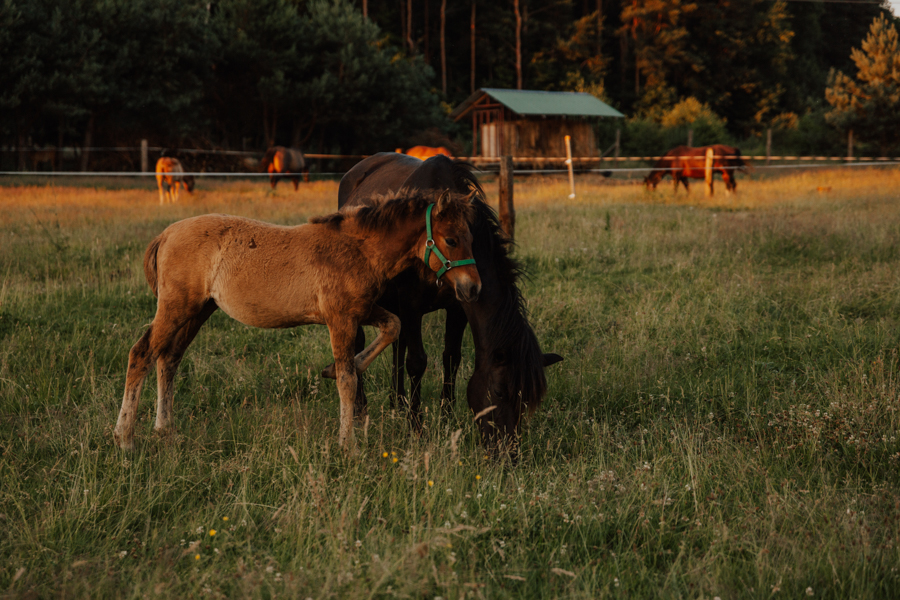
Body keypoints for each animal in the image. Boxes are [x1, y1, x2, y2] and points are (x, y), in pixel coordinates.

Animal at [115, 190, 482, 452]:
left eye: (471, 237)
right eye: (451, 239)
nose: (472, 288)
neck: (357, 251)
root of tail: (166, 234)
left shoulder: (361, 311)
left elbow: (391, 328)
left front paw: (331, 370)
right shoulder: (340, 319)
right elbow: (348, 380)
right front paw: (347, 445)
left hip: (199, 311)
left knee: (168, 358)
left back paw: (165, 431)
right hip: (177, 308)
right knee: (142, 353)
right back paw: (126, 439)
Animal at [338, 152, 564, 458]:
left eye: (527, 401)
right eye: (499, 392)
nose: (508, 454)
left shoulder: (458, 306)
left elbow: (451, 358)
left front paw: (446, 418)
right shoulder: (411, 305)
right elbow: (417, 362)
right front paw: (417, 428)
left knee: (396, 343)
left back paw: (397, 402)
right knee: (360, 345)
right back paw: (362, 410)